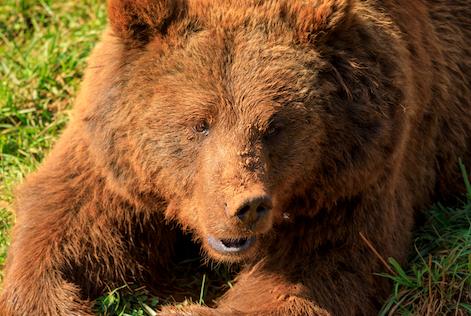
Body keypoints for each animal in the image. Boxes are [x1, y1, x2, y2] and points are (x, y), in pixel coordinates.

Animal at [0, 0, 471, 314]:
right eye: (199, 124)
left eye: (274, 125)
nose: (245, 206)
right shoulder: (113, 159)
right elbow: (63, 225)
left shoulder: (352, 180)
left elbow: (311, 275)